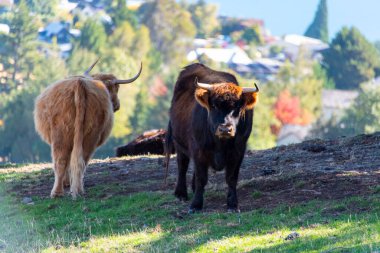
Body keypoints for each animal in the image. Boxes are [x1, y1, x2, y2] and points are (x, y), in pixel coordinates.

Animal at [33, 60, 141, 199]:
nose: (117, 105)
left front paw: (67, 183)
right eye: (116, 89)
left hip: (61, 134)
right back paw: (77, 190)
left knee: (61, 161)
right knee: (80, 160)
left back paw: (58, 193)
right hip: (91, 134)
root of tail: (80, 83)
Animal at [165, 63, 260, 211]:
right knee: (182, 165)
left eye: (238, 107)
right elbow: (201, 177)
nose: (225, 129)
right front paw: (196, 204)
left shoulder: (238, 151)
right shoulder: (198, 148)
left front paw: (233, 204)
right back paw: (181, 193)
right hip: (179, 142)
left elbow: (232, 178)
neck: (220, 143)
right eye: (214, 105)